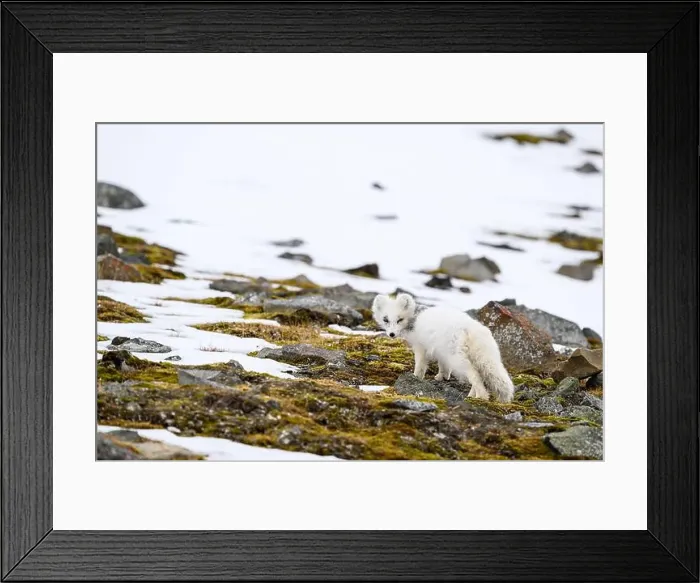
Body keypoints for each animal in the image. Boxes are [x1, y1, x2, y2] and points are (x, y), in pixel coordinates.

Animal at [372, 293, 514, 402]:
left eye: (399, 319)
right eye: (385, 319)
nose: (391, 334)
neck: (414, 317)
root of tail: (469, 328)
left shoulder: (420, 347)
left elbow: (420, 365)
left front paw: (416, 377)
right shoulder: (440, 350)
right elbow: (443, 366)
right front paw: (442, 377)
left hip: (458, 359)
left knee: (475, 375)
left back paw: (481, 397)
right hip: (479, 357)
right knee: (480, 375)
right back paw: (472, 395)